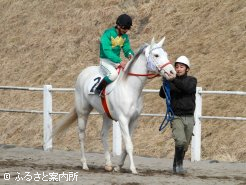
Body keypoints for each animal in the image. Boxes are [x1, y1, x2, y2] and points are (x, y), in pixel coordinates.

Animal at [52, 37, 176, 173]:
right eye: (156, 55)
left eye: (166, 54)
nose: (172, 72)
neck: (129, 88)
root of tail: (84, 72)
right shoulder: (123, 120)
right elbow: (129, 144)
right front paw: (133, 169)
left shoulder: (134, 120)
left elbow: (126, 146)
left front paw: (118, 166)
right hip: (83, 112)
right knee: (81, 136)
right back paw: (84, 164)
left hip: (106, 116)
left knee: (103, 135)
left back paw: (108, 164)